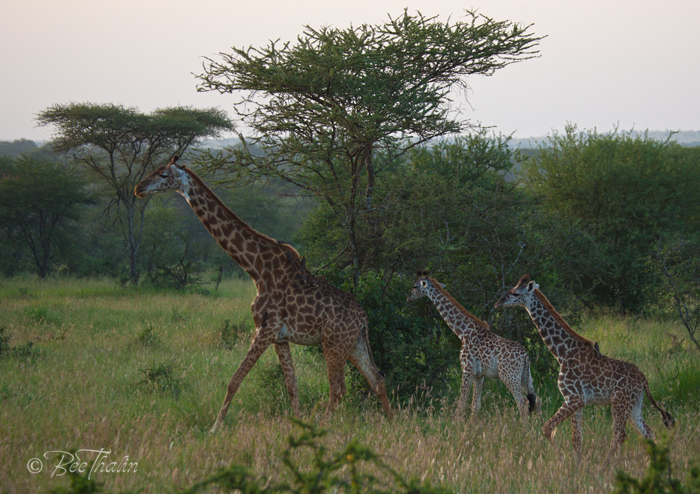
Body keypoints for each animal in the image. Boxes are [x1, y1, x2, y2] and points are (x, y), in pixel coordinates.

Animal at [134, 156, 392, 432]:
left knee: (338, 389)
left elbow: (234, 380)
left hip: (333, 343)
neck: (256, 268)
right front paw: (297, 424)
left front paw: (215, 428)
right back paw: (394, 421)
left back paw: (322, 426)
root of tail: (363, 318)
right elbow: (292, 386)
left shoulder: (265, 329)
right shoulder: (279, 337)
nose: (139, 188)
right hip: (354, 344)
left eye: (163, 174)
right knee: (377, 379)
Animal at [407, 272, 537, 420]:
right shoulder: (479, 374)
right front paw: (471, 425)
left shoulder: (467, 369)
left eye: (415, 286)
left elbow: (462, 404)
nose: (408, 298)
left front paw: (457, 423)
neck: (463, 332)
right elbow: (475, 406)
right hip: (526, 376)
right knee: (536, 400)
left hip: (509, 376)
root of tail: (525, 356)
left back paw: (523, 426)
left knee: (523, 402)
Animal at [495, 274, 674, 462]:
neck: (562, 353)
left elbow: (547, 428)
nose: (498, 303)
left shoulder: (574, 398)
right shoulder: (577, 402)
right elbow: (577, 439)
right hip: (634, 404)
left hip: (619, 402)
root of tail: (644, 380)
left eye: (515, 293)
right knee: (647, 432)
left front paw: (562, 459)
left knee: (621, 435)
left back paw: (606, 465)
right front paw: (576, 465)